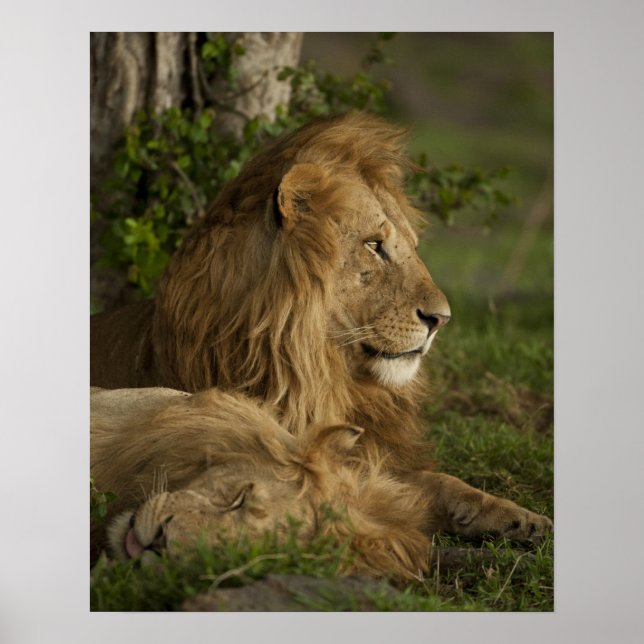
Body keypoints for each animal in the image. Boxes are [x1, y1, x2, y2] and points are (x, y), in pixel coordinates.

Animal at [91, 112, 552, 543]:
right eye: (373, 245)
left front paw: (519, 517)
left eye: (412, 248)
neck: (323, 377)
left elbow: (440, 482)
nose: (442, 319)